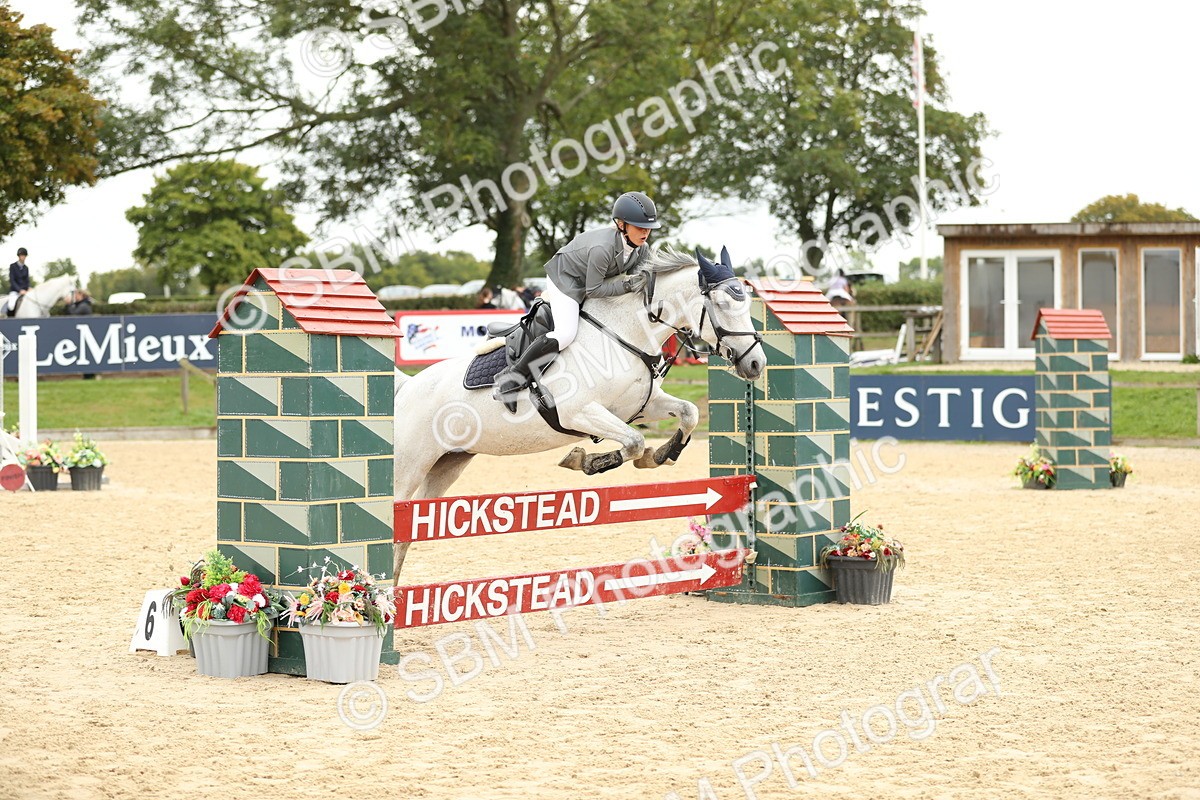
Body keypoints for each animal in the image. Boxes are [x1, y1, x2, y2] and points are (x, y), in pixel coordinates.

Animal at [391, 246, 766, 578]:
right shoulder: (578, 412)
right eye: (721, 305)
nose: (756, 364)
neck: (624, 333)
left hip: (448, 464)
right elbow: (633, 442)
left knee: (410, 529)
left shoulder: (639, 405)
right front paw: (587, 461)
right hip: (409, 467)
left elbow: (687, 414)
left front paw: (662, 454)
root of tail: (406, 388)